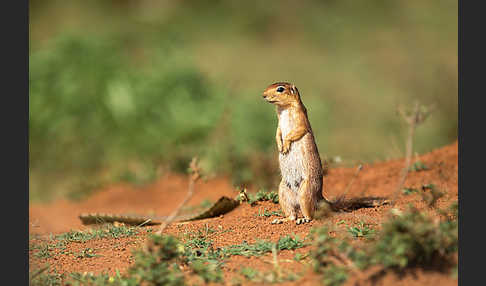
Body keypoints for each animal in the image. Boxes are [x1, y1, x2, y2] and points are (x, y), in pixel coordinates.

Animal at [262, 81, 388, 225]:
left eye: (280, 89)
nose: (263, 95)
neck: (283, 110)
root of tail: (320, 197)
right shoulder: (279, 125)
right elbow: (278, 133)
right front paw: (280, 146)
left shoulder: (300, 120)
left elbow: (296, 131)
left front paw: (285, 145)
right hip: (283, 192)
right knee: (292, 215)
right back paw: (281, 219)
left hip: (305, 192)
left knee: (310, 215)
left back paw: (303, 219)